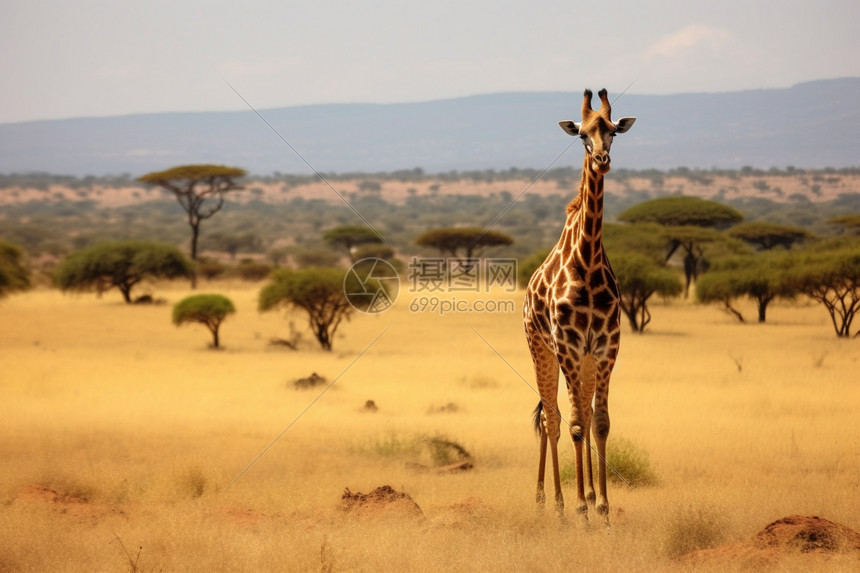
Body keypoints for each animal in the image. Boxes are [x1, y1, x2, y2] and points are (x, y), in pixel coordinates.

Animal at [520, 88, 636, 524]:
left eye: (613, 131)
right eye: (582, 134)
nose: (602, 160)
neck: (585, 261)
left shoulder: (605, 347)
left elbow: (598, 423)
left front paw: (602, 507)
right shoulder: (568, 346)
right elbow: (571, 425)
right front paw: (582, 509)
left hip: (581, 359)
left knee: (579, 416)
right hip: (540, 348)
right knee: (551, 419)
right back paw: (551, 502)